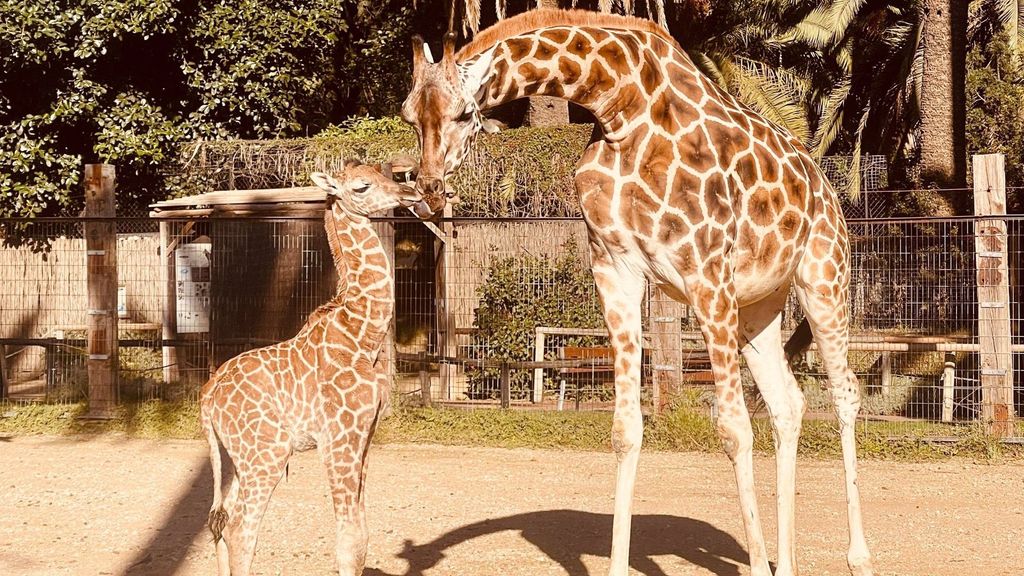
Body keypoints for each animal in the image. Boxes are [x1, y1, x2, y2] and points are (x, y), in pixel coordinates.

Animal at [199, 161, 423, 573]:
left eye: (386, 174)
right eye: (362, 186)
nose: (410, 192)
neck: (361, 333)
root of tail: (207, 397)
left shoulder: (366, 434)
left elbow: (362, 535)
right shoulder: (339, 437)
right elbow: (349, 539)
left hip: (233, 456)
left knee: (220, 521)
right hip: (267, 453)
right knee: (240, 529)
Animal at [399, 7, 872, 573]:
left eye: (462, 115)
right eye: (408, 116)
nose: (428, 189)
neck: (618, 107)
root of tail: (825, 185)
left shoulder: (706, 273)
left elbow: (733, 429)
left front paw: (757, 564)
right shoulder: (615, 269)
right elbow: (626, 430)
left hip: (823, 275)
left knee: (845, 395)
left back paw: (858, 556)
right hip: (761, 304)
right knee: (789, 404)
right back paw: (788, 560)